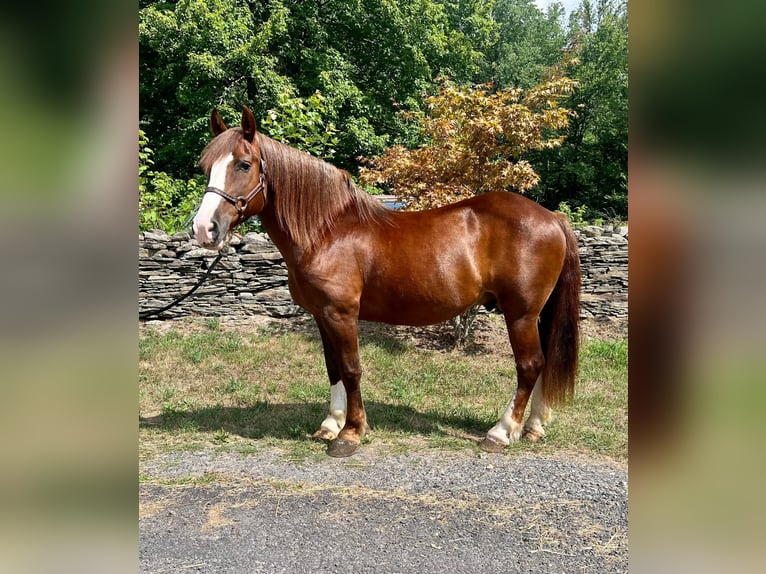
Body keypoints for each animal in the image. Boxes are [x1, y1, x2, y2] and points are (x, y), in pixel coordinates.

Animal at [192, 104, 584, 460]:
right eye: (206, 167)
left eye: (244, 164)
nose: (203, 229)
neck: (326, 231)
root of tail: (551, 216)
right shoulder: (321, 315)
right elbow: (333, 367)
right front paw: (331, 424)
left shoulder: (341, 314)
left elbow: (351, 369)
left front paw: (351, 433)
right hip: (535, 315)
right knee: (542, 363)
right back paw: (532, 427)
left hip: (520, 314)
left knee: (529, 365)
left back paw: (501, 432)